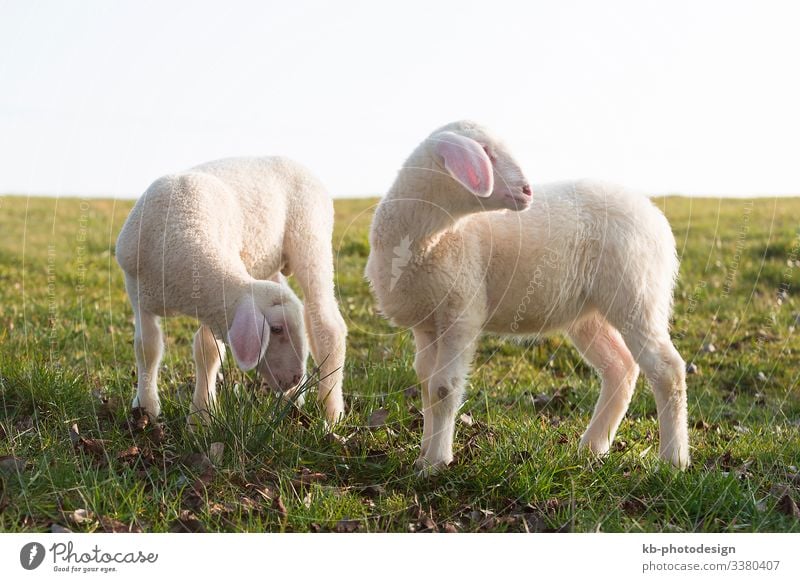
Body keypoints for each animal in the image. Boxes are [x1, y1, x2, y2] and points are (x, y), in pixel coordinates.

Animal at [115, 157, 346, 426]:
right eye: (276, 329)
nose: (295, 378)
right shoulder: (138, 293)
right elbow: (147, 348)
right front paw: (145, 408)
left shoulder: (214, 302)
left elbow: (207, 351)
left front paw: (201, 416)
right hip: (269, 260)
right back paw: (294, 400)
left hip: (311, 238)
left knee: (328, 326)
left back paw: (331, 411)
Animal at [366, 121, 692, 476]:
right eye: (486, 152)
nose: (527, 191)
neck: (434, 236)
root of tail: (653, 214)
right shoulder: (426, 322)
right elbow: (426, 385)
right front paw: (424, 454)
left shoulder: (461, 313)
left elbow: (443, 388)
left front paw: (435, 463)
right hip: (589, 313)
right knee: (620, 367)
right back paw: (593, 446)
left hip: (637, 292)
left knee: (668, 369)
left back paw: (673, 460)